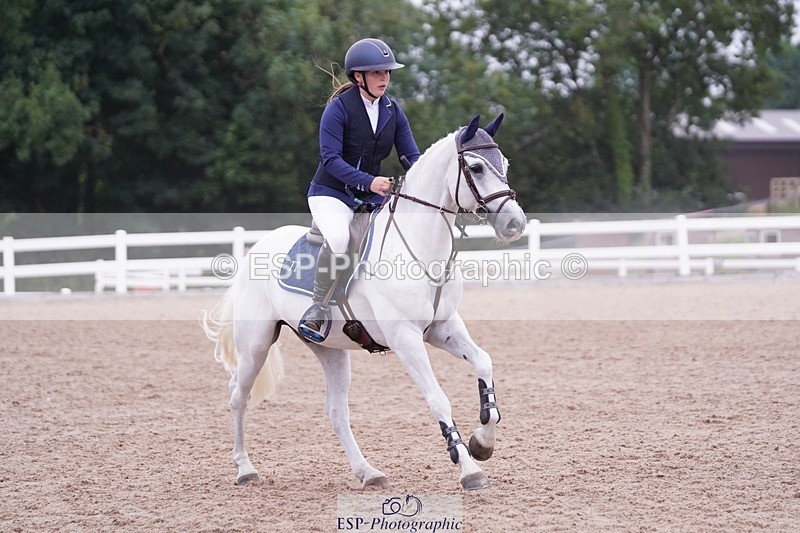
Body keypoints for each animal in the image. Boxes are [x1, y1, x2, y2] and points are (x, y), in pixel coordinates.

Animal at [202, 113, 527, 491]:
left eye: (504, 164)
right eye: (475, 167)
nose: (515, 223)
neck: (418, 246)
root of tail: (255, 248)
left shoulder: (442, 328)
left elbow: (484, 364)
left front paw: (482, 443)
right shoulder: (405, 339)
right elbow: (438, 399)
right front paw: (469, 468)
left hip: (330, 349)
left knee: (336, 411)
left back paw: (368, 472)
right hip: (256, 345)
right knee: (238, 395)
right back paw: (244, 468)